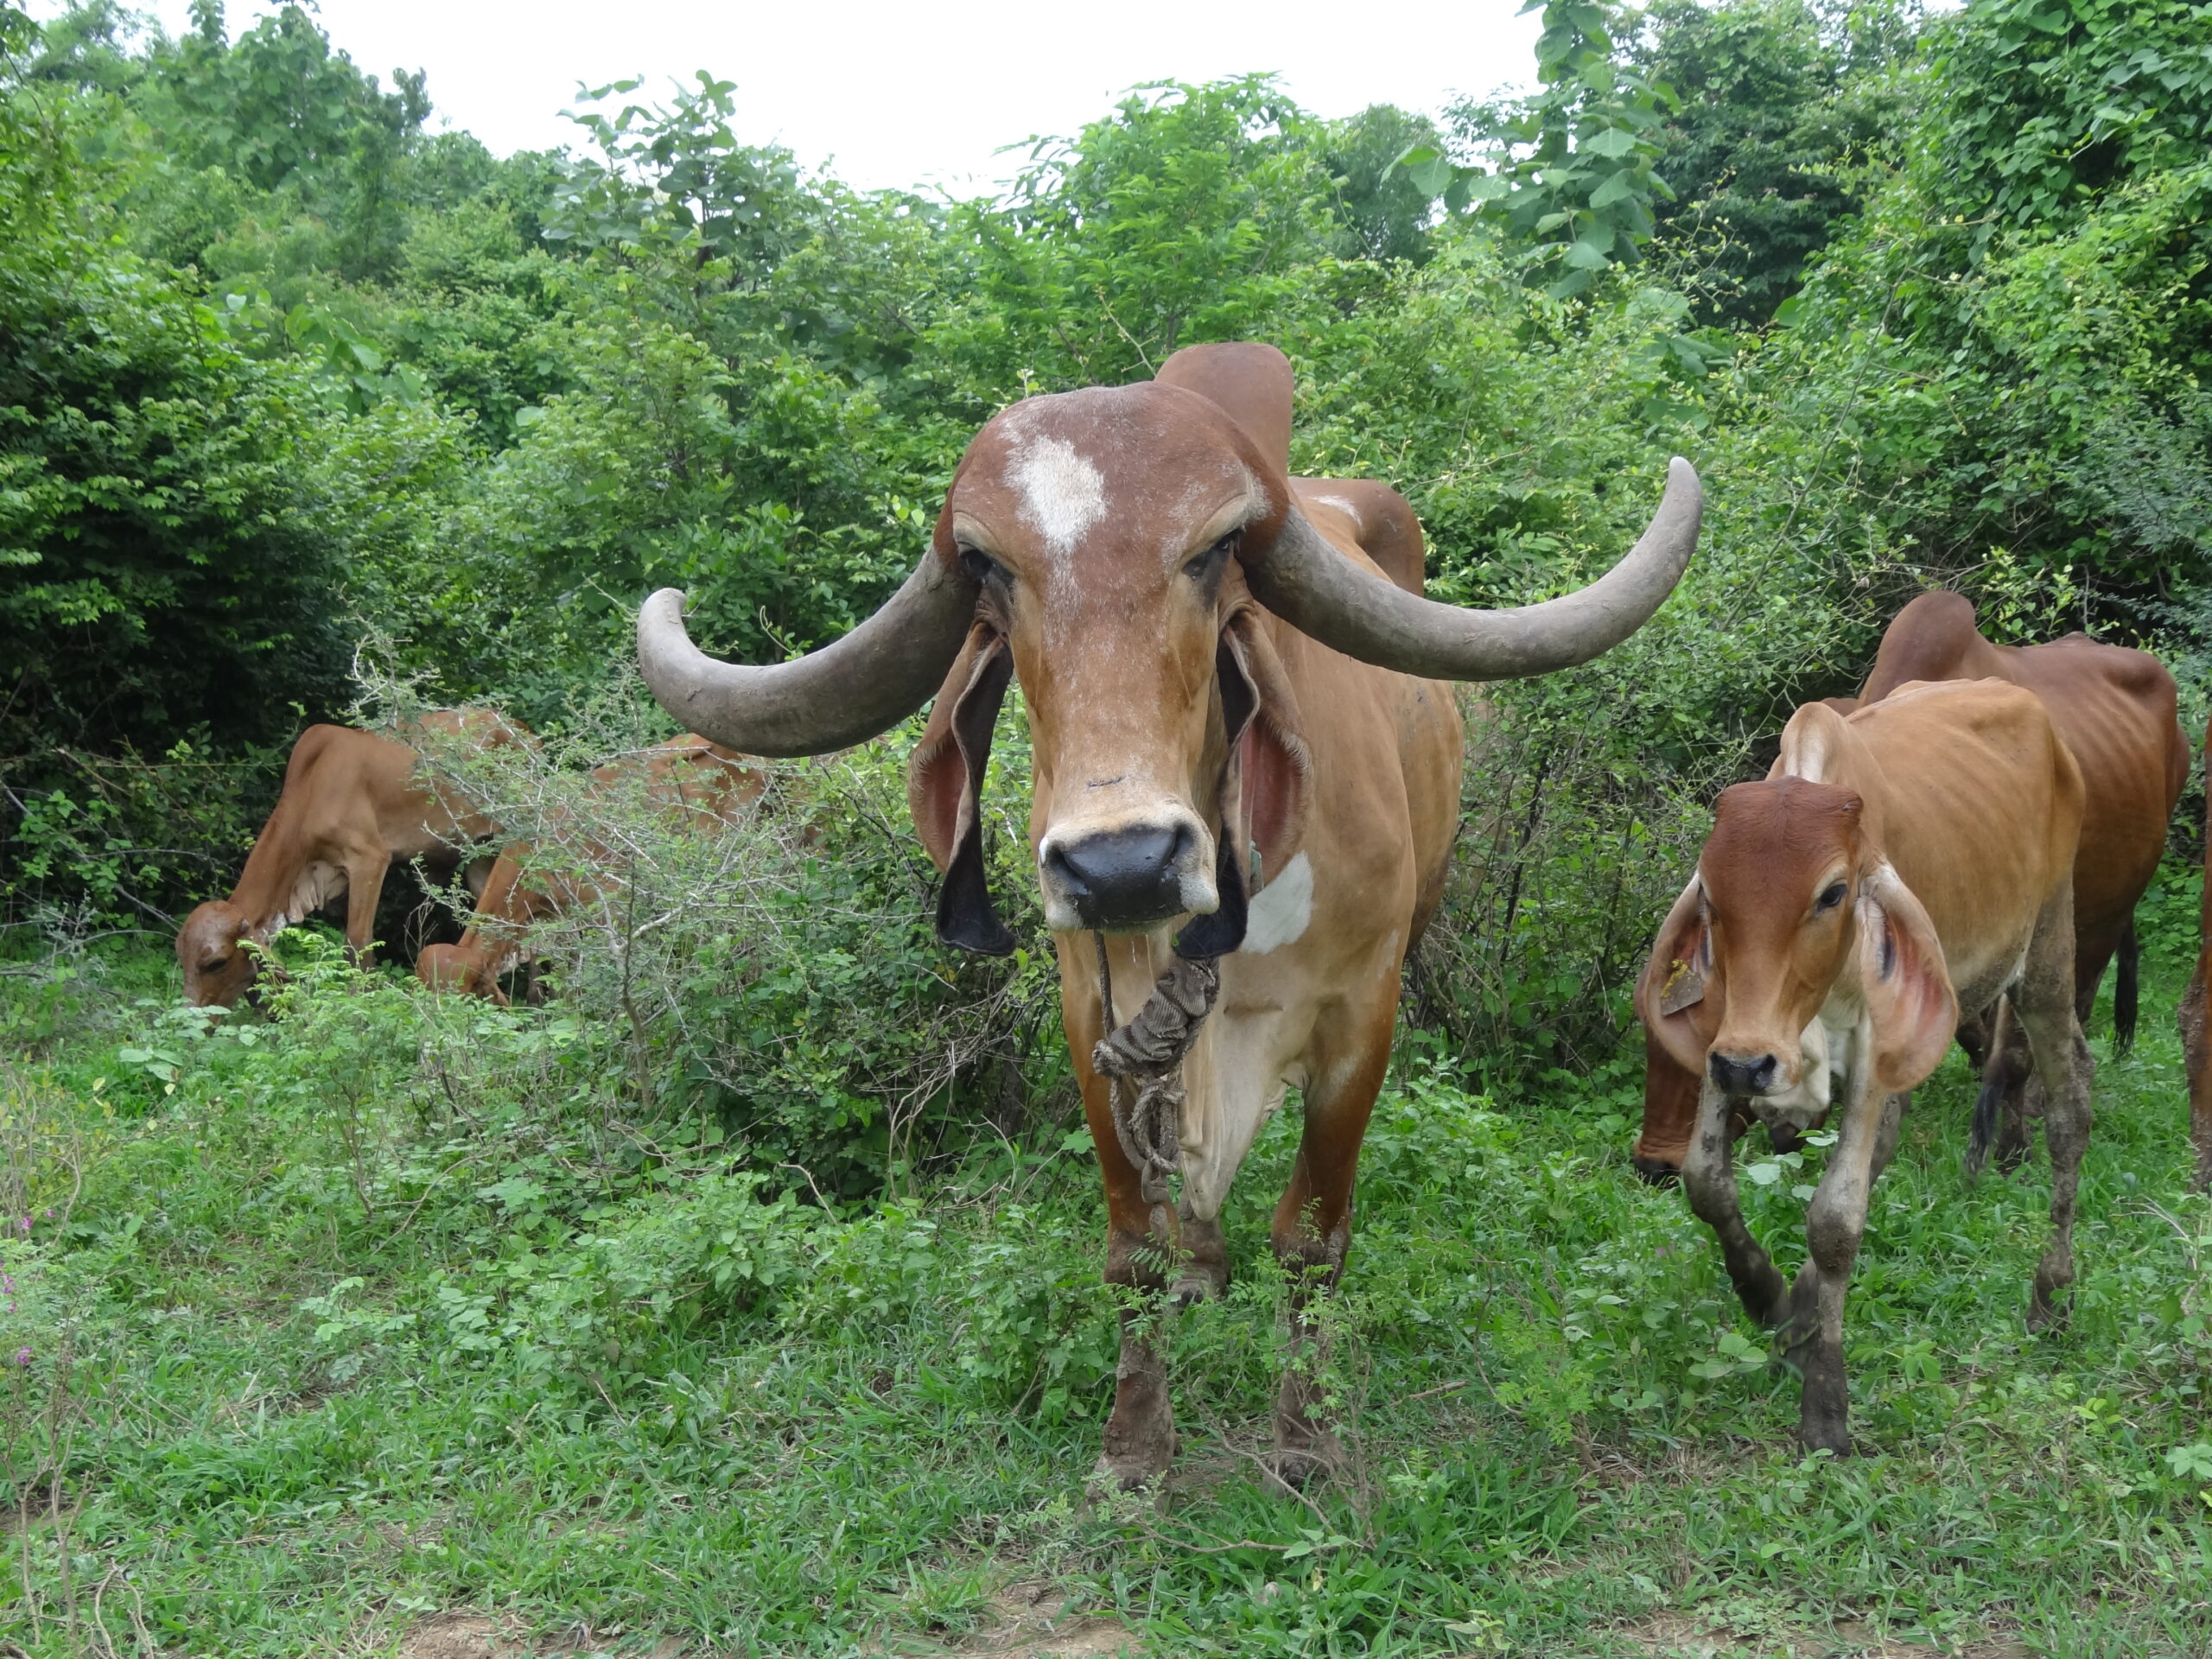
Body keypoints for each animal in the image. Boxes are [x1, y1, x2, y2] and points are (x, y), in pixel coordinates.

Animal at [176, 710, 530, 1007]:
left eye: (217, 962)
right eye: (182, 959)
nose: (192, 1017)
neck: (312, 788)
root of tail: (522, 730)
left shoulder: (369, 860)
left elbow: (358, 944)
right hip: (481, 856)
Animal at [633, 340, 1702, 1487]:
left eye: (1216, 549)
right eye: (986, 565)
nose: (1121, 867)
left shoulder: (1358, 1019)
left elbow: (1311, 1237)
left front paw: (1303, 1438)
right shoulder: (1091, 1020)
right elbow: (1136, 1250)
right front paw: (1135, 1450)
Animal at [1639, 679, 2086, 1452]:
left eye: (1831, 894)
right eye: (1711, 899)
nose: (1752, 1064)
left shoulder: (1876, 1048)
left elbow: (1835, 1219)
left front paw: (1825, 1404)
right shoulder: (1732, 1041)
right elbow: (1705, 1181)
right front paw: (1769, 1295)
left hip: (2047, 961)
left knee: (2067, 1119)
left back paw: (2049, 1295)